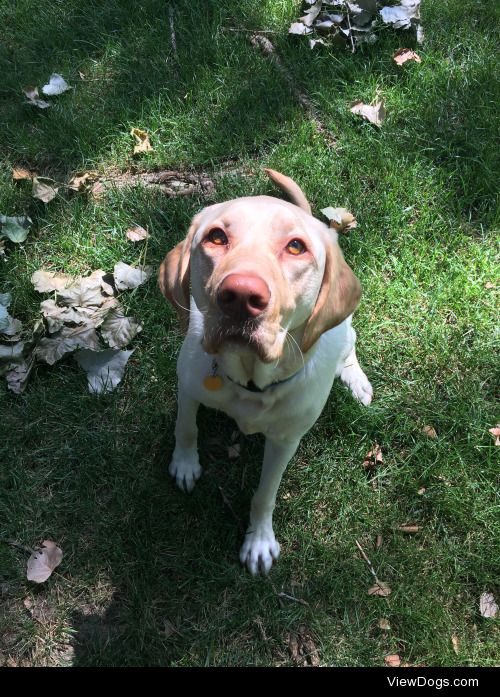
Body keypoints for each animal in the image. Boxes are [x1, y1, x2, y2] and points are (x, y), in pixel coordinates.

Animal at [159, 169, 372, 572]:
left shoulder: (286, 440)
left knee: (349, 348)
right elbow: (186, 427)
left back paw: (356, 380)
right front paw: (185, 464)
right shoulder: (189, 386)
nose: (241, 296)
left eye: (296, 247)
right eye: (216, 237)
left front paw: (259, 540)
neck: (250, 384)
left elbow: (265, 494)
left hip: (346, 329)